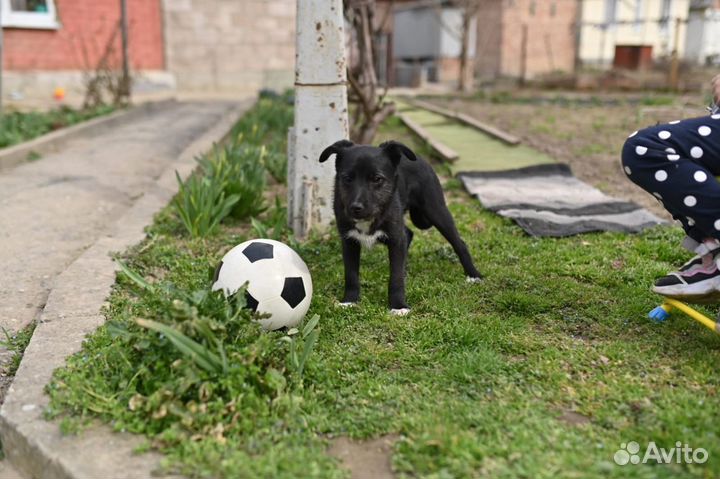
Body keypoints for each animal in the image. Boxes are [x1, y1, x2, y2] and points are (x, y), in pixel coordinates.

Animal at [320, 139, 478, 316]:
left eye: (377, 179)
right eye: (347, 178)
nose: (356, 208)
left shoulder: (395, 239)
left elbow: (395, 276)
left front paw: (398, 305)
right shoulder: (349, 241)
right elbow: (351, 274)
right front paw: (350, 300)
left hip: (436, 210)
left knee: (459, 243)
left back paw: (474, 275)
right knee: (408, 234)